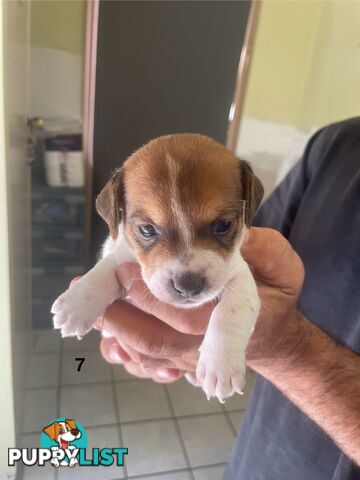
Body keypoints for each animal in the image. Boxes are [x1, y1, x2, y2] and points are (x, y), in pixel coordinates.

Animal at [51, 134, 264, 402]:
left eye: (223, 225)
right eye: (147, 230)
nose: (188, 286)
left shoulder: (239, 272)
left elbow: (231, 311)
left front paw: (220, 366)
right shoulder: (123, 254)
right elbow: (105, 268)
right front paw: (77, 303)